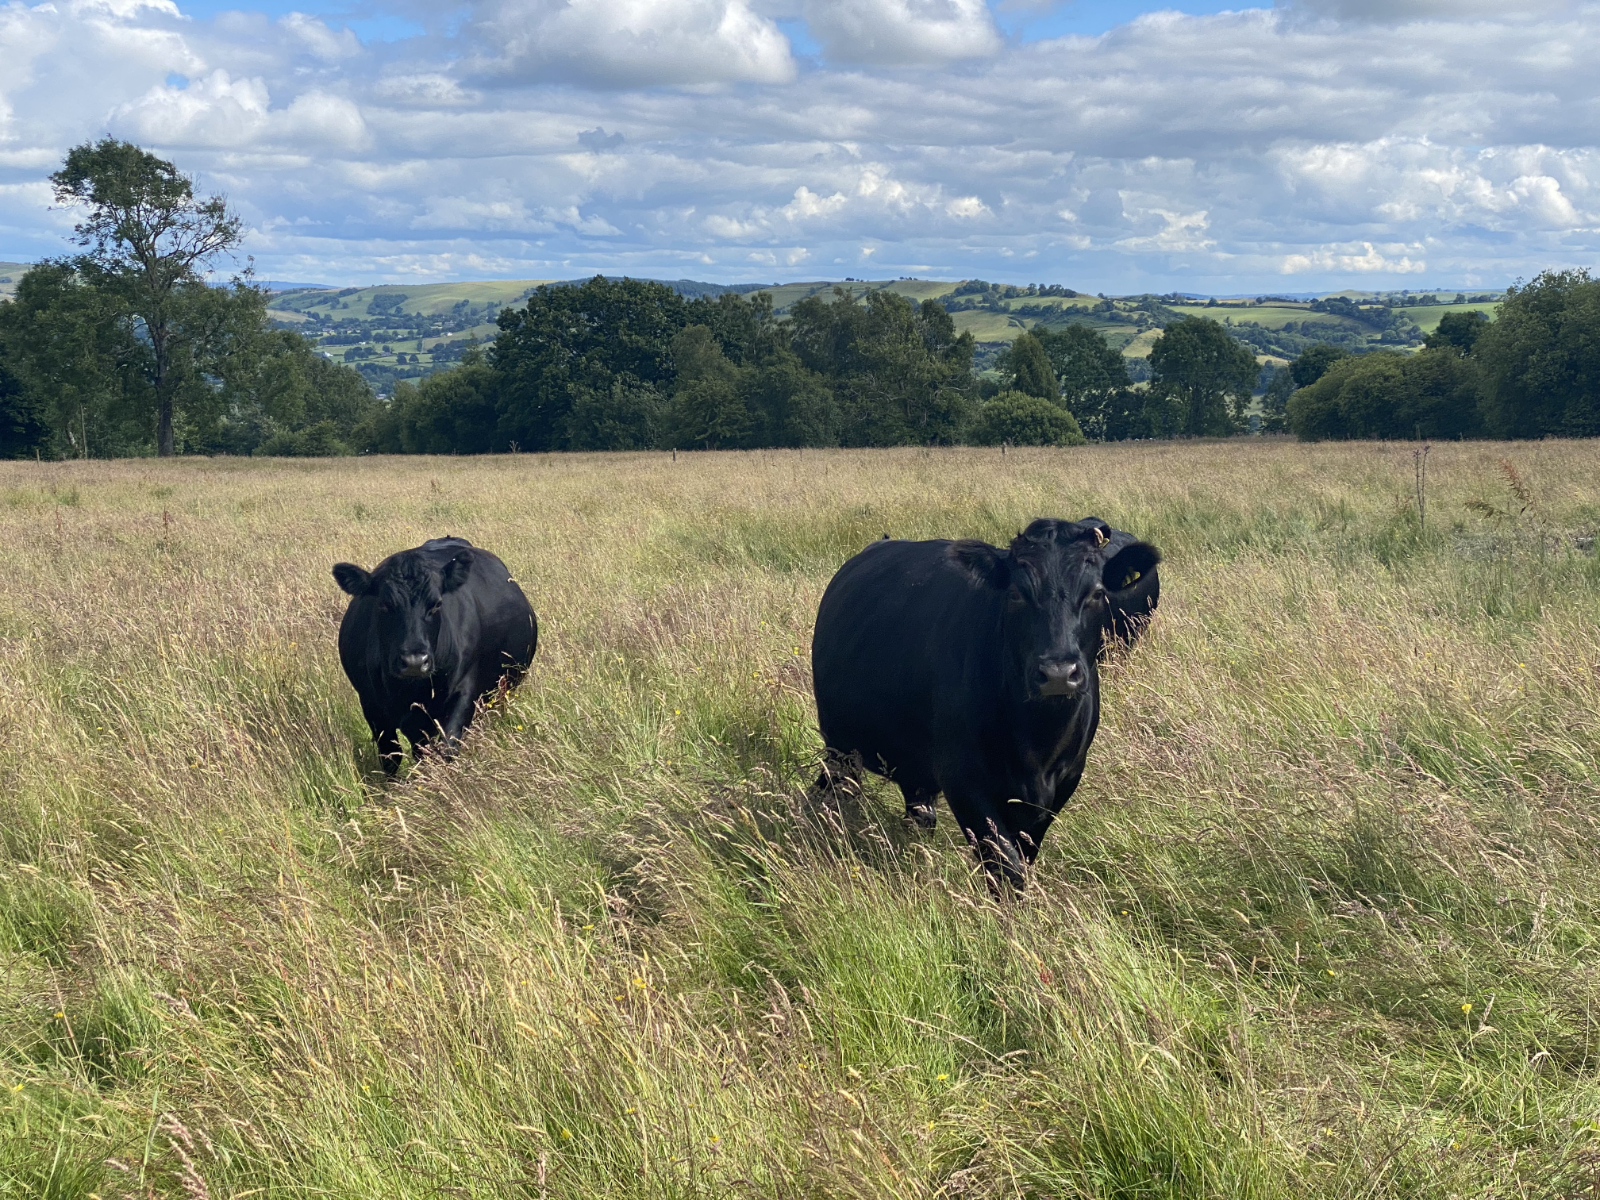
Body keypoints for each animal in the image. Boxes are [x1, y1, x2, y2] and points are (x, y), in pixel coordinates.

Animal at [332, 537, 538, 774]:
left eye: (437, 604)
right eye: (384, 604)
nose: (414, 662)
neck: (410, 690)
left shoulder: (465, 693)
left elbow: (446, 750)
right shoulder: (371, 704)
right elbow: (391, 756)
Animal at [810, 517, 1160, 888]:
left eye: (1096, 593)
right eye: (1016, 593)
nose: (1058, 673)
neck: (1036, 741)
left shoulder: (1063, 781)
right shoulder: (963, 780)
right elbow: (1006, 867)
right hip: (841, 747)